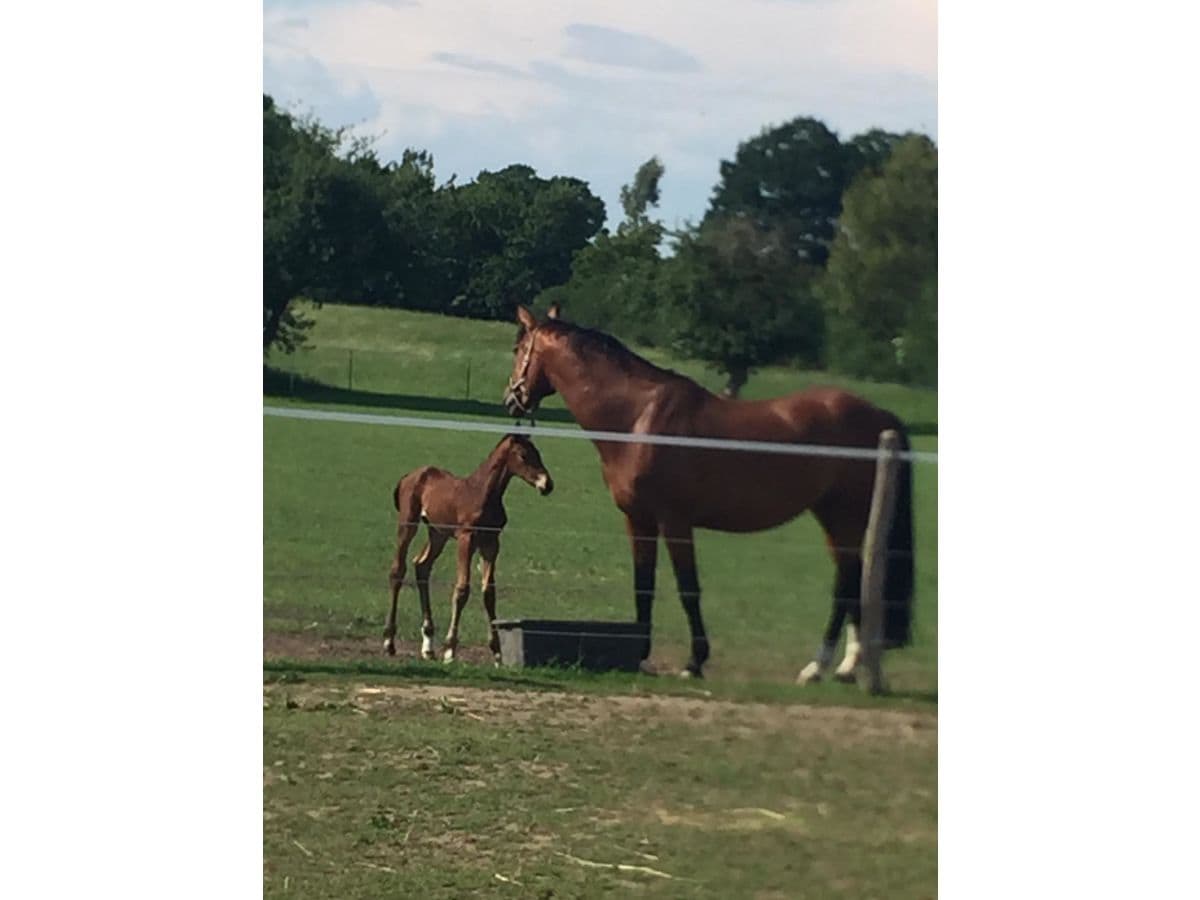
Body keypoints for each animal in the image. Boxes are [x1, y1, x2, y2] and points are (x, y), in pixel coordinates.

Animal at [381, 436, 554, 662]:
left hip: (438, 533)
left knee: (421, 565)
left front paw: (497, 652)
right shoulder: (466, 539)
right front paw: (450, 650)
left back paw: (428, 645)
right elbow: (462, 589)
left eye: (538, 453)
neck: (483, 493)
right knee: (398, 570)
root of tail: (408, 476)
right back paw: (389, 641)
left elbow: (489, 592)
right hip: (408, 524)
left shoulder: (491, 543)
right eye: (523, 455)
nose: (547, 484)